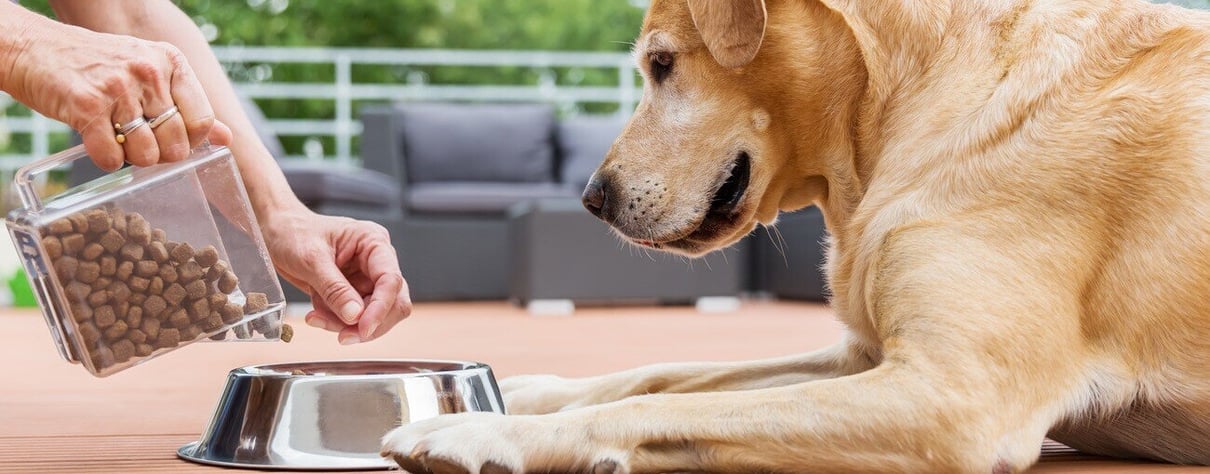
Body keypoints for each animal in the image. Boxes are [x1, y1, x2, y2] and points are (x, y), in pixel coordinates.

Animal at [384, 0, 1210, 469]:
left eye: (661, 63)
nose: (591, 198)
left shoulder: (957, 395)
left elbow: (669, 407)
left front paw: (479, 435)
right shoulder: (863, 357)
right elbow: (664, 375)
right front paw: (521, 395)